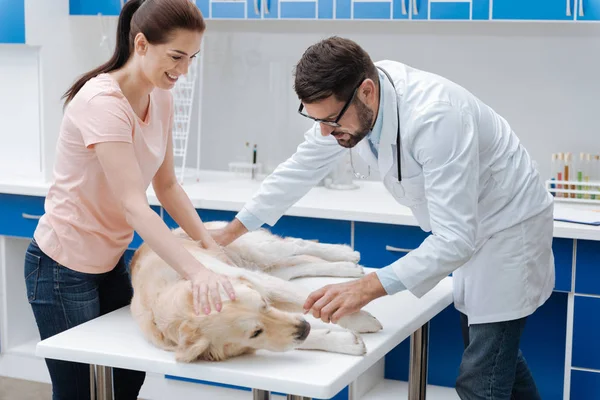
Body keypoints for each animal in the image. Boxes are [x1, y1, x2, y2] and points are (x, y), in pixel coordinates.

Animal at [131, 222, 384, 362]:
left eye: (264, 304)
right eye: (255, 333)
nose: (305, 326)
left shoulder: (261, 284)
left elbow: (306, 300)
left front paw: (361, 320)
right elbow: (294, 339)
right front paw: (344, 340)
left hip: (260, 252)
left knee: (299, 244)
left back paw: (346, 253)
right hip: (269, 267)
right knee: (300, 263)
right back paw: (347, 266)